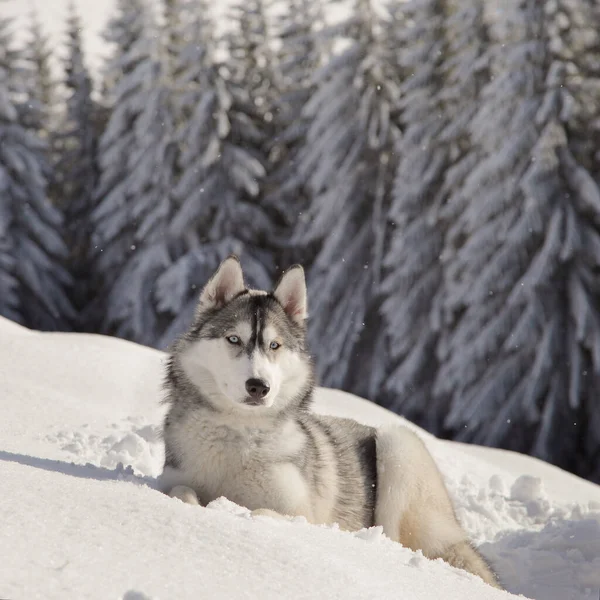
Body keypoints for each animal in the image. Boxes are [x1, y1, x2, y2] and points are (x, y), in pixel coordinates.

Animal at [159, 255, 502, 588]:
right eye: (233, 339)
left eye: (274, 345)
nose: (258, 386)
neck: (239, 433)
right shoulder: (175, 479)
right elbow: (180, 491)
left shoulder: (301, 514)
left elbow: (261, 513)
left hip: (399, 446)